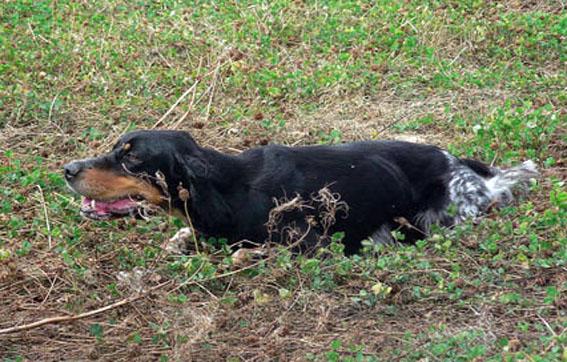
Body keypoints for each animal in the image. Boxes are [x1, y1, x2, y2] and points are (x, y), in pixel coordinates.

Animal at [64, 130, 540, 255]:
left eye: (132, 159)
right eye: (116, 148)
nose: (67, 169)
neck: (231, 188)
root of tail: (463, 166)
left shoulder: (314, 244)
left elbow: (244, 253)